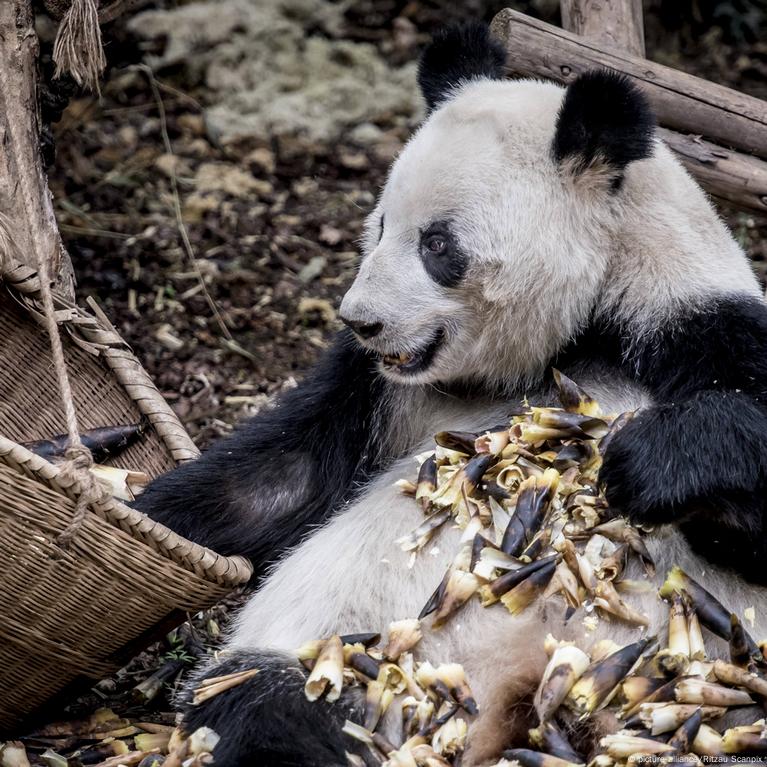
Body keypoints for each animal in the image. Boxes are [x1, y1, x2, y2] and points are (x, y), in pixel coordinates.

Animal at [134, 21, 767, 767]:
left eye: (438, 244)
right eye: (380, 225)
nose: (360, 320)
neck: (577, 333)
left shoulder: (698, 326)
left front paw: (651, 463)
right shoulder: (386, 392)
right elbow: (279, 478)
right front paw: (138, 520)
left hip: (707, 696)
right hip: (356, 661)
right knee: (274, 703)